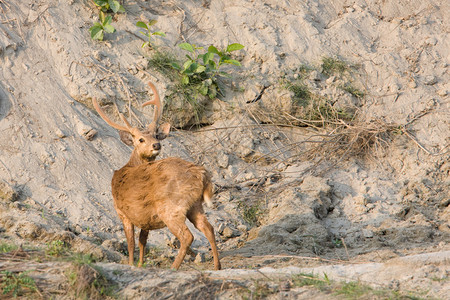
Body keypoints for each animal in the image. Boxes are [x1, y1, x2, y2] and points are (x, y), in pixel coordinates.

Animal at [92, 81, 221, 270]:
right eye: (141, 139)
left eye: (155, 135)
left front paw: (131, 264)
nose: (156, 145)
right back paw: (217, 266)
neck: (128, 166)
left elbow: (131, 242)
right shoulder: (145, 217)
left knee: (187, 236)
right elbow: (142, 241)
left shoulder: (121, 211)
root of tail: (201, 173)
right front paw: (140, 264)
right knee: (209, 228)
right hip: (195, 205)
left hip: (170, 207)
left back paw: (174, 267)